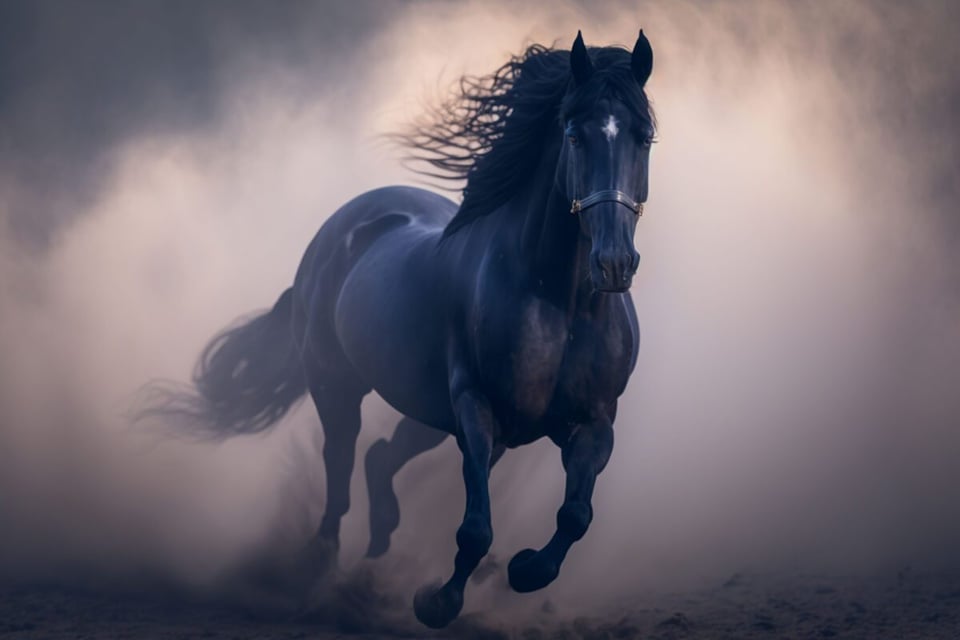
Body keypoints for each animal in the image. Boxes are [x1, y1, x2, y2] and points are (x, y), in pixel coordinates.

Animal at [141, 30, 656, 628]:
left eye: (645, 137)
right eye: (574, 134)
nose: (614, 264)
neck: (560, 301)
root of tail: (340, 226)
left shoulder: (593, 422)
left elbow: (575, 515)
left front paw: (523, 568)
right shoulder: (476, 407)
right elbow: (475, 527)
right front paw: (437, 601)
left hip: (432, 413)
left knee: (381, 456)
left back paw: (377, 552)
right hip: (338, 386)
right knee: (341, 465)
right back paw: (320, 567)